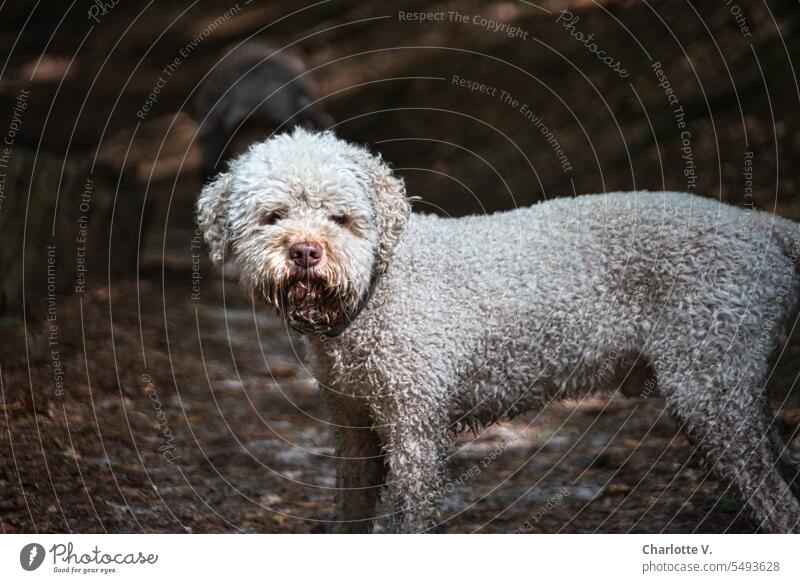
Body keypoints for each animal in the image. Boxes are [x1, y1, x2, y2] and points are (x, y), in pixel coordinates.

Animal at [198, 128, 800, 532]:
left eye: (340, 218)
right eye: (272, 216)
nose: (305, 251)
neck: (376, 289)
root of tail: (764, 227)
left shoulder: (415, 430)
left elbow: (403, 520)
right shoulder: (354, 424)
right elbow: (349, 511)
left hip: (708, 382)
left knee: (778, 502)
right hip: (732, 390)